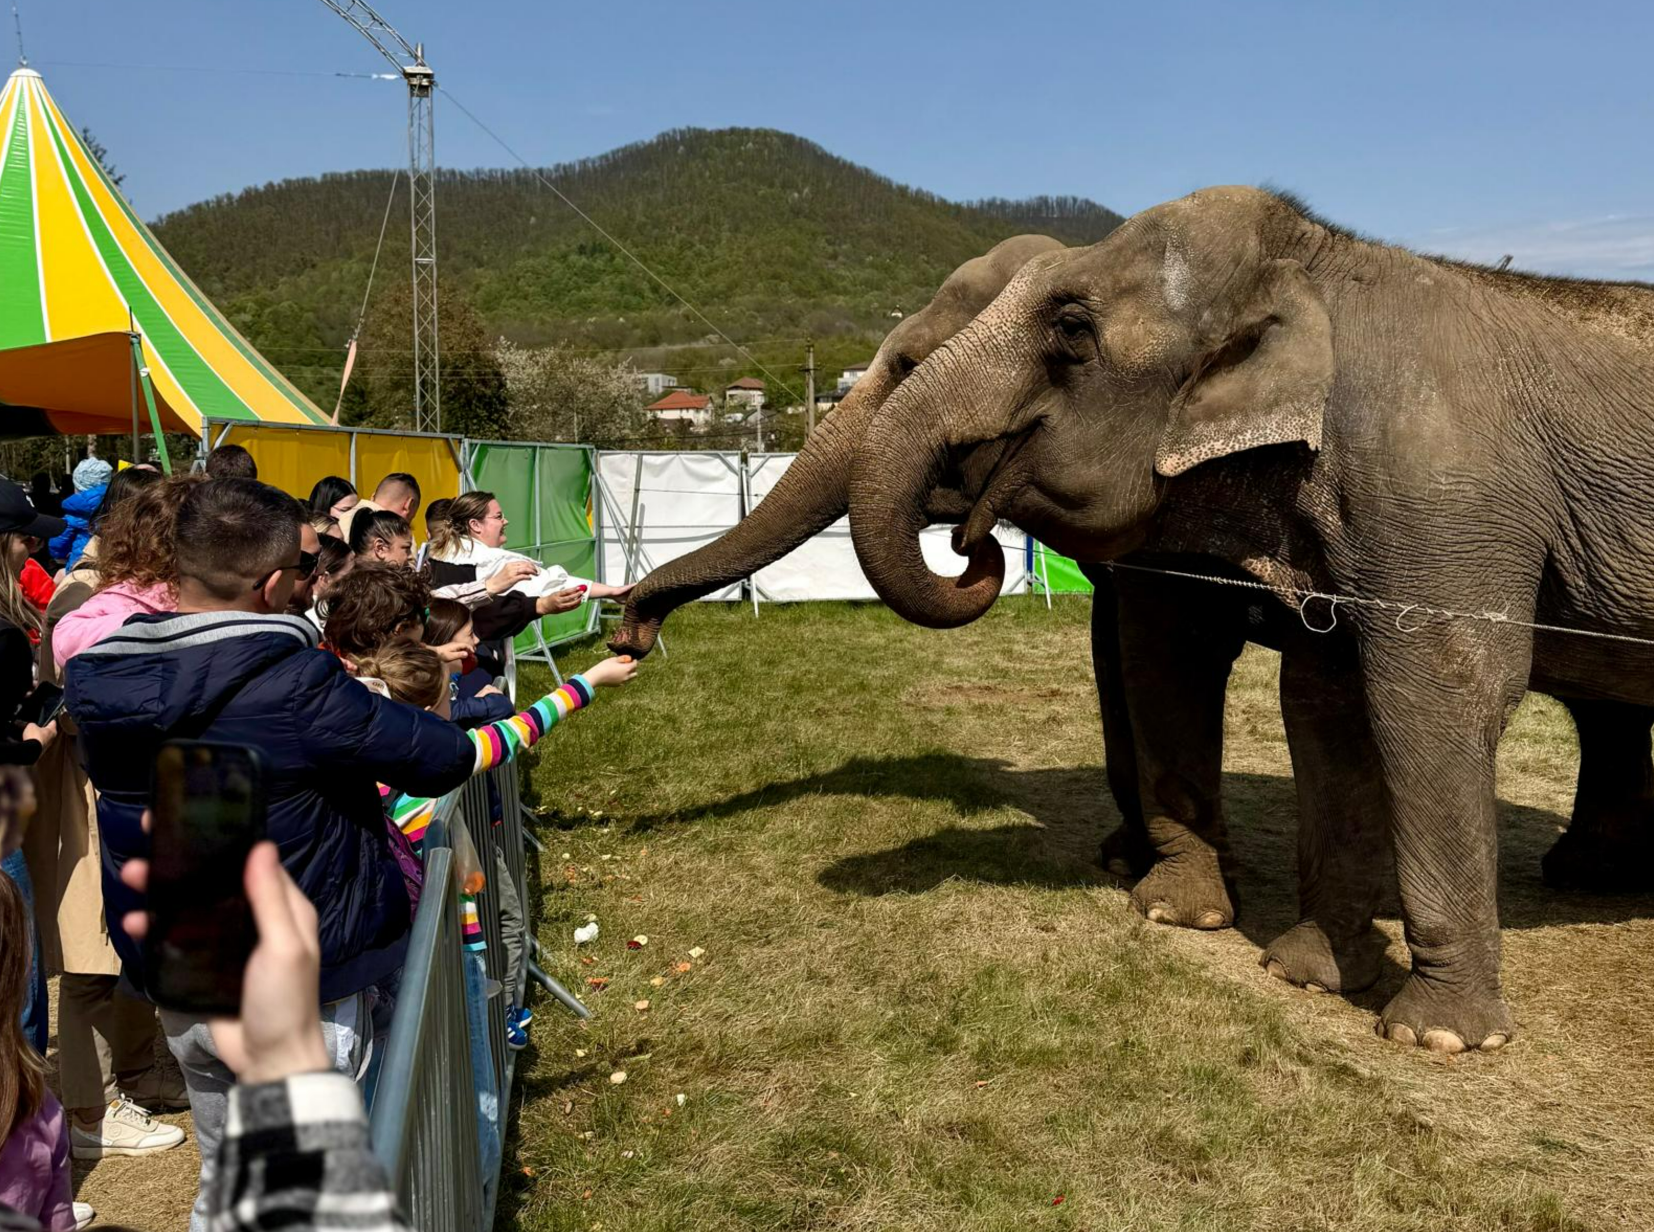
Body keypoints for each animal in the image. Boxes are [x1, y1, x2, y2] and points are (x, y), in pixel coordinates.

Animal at [846, 186, 1654, 1053]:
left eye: (1070, 329)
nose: (970, 543)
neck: (1321, 262)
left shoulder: (1445, 503)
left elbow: (1439, 693)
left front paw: (1435, 1038)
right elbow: (1322, 699)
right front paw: (1301, 971)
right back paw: (1588, 877)